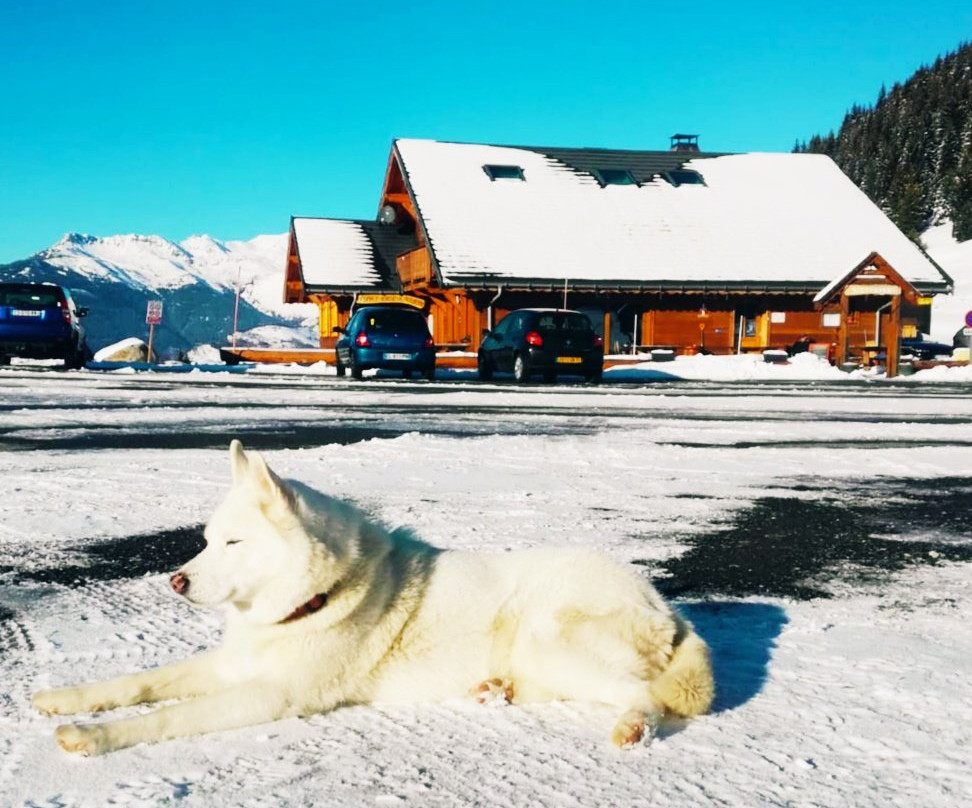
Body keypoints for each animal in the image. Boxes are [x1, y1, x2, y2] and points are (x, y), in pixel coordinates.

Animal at [32, 438, 712, 756]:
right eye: (204, 541)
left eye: (233, 542)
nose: (176, 581)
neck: (310, 602)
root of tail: (665, 607)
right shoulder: (230, 665)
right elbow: (139, 683)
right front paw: (66, 698)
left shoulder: (271, 694)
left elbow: (166, 716)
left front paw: (91, 738)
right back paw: (496, 690)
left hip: (551, 637)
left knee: (644, 697)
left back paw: (630, 727)